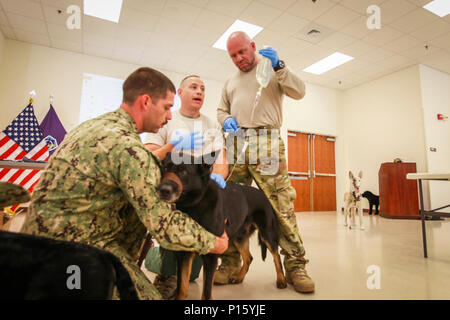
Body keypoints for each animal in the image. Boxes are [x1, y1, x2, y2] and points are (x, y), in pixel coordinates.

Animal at [156, 151, 286, 298]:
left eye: (183, 172)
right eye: (165, 167)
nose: (163, 190)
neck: (195, 203)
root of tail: (263, 194)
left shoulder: (212, 255)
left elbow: (206, 292)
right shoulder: (184, 254)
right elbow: (182, 287)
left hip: (267, 234)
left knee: (276, 256)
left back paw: (281, 280)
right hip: (239, 238)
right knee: (249, 257)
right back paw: (239, 277)